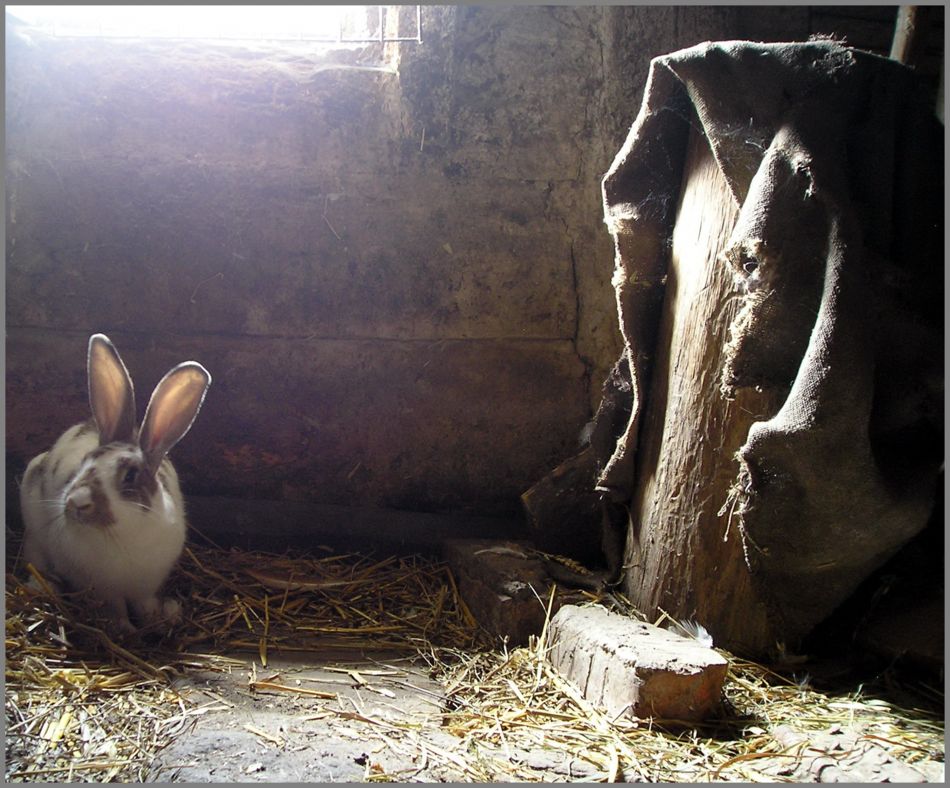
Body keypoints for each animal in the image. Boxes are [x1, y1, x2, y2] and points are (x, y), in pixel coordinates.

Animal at [18, 332, 212, 636]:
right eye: (85, 462)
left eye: (131, 476)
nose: (77, 502)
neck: (120, 535)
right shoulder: (103, 589)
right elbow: (116, 608)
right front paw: (125, 630)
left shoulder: (147, 584)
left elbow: (144, 604)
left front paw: (156, 619)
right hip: (34, 527)